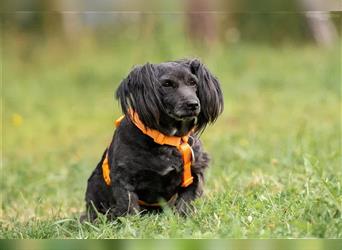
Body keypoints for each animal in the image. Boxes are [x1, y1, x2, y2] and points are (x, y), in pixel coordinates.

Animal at [84, 59, 223, 221]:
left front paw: (183, 219)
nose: (193, 104)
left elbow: (186, 202)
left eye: (193, 82)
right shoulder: (123, 178)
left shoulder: (194, 174)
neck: (168, 138)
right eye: (167, 84)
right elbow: (129, 206)